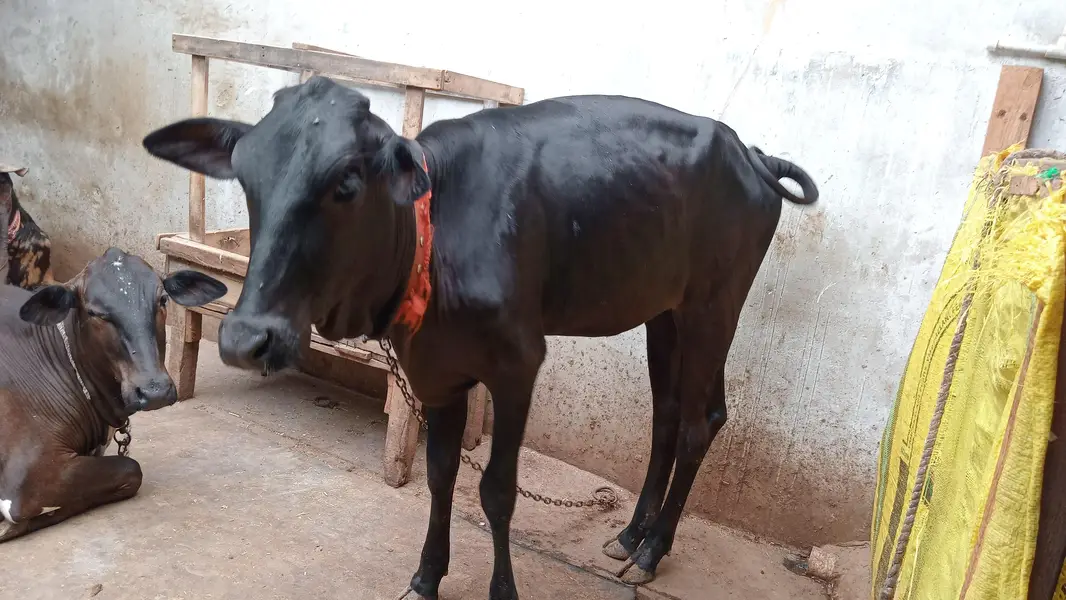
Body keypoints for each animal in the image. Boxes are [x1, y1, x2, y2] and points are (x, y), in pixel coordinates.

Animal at [141, 75, 819, 600]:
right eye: (245, 180)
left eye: (347, 183)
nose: (246, 339)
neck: (434, 236)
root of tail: (752, 155)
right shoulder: (436, 371)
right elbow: (441, 473)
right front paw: (426, 577)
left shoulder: (519, 364)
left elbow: (496, 490)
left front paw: (501, 589)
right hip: (666, 311)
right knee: (671, 415)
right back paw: (630, 536)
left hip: (715, 305)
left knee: (701, 422)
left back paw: (653, 551)